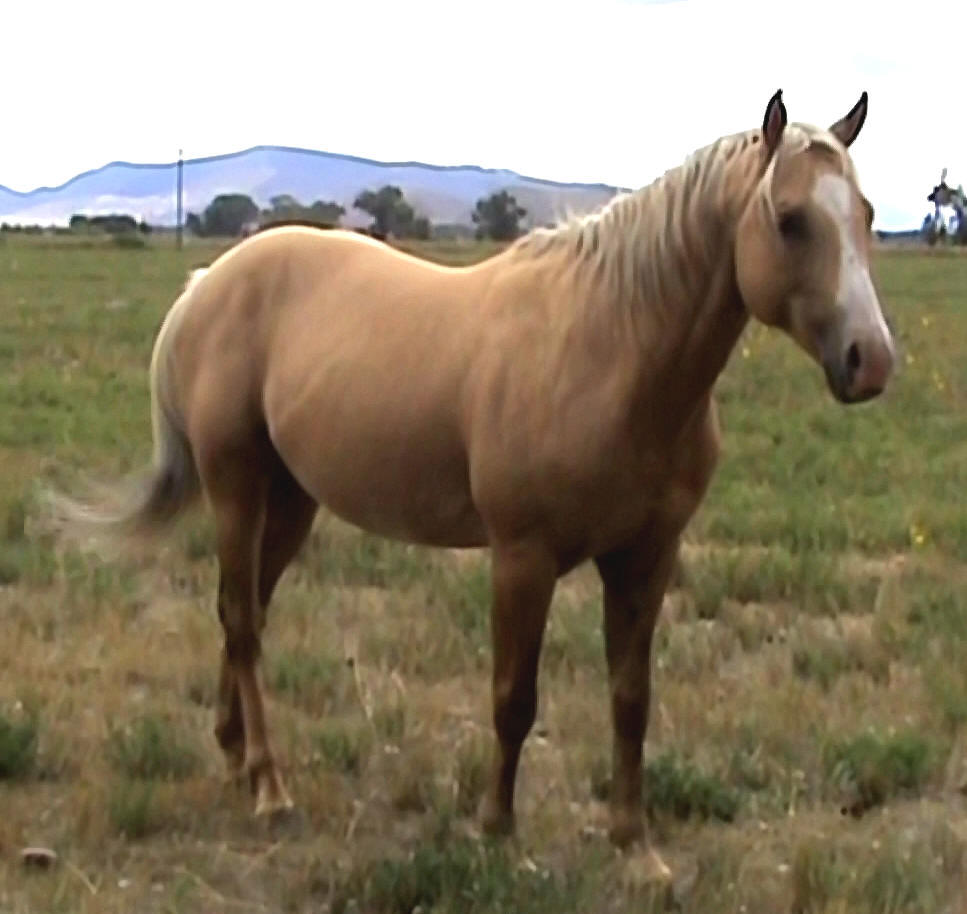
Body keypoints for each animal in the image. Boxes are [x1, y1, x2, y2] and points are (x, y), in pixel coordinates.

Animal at [53, 89, 894, 878]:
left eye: (864, 214)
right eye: (788, 219)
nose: (871, 360)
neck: (610, 352)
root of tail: (209, 282)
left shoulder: (646, 558)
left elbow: (630, 699)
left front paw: (632, 843)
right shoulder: (522, 558)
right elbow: (512, 698)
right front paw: (495, 828)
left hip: (291, 500)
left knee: (245, 611)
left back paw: (234, 753)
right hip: (237, 485)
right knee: (242, 620)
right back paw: (269, 787)